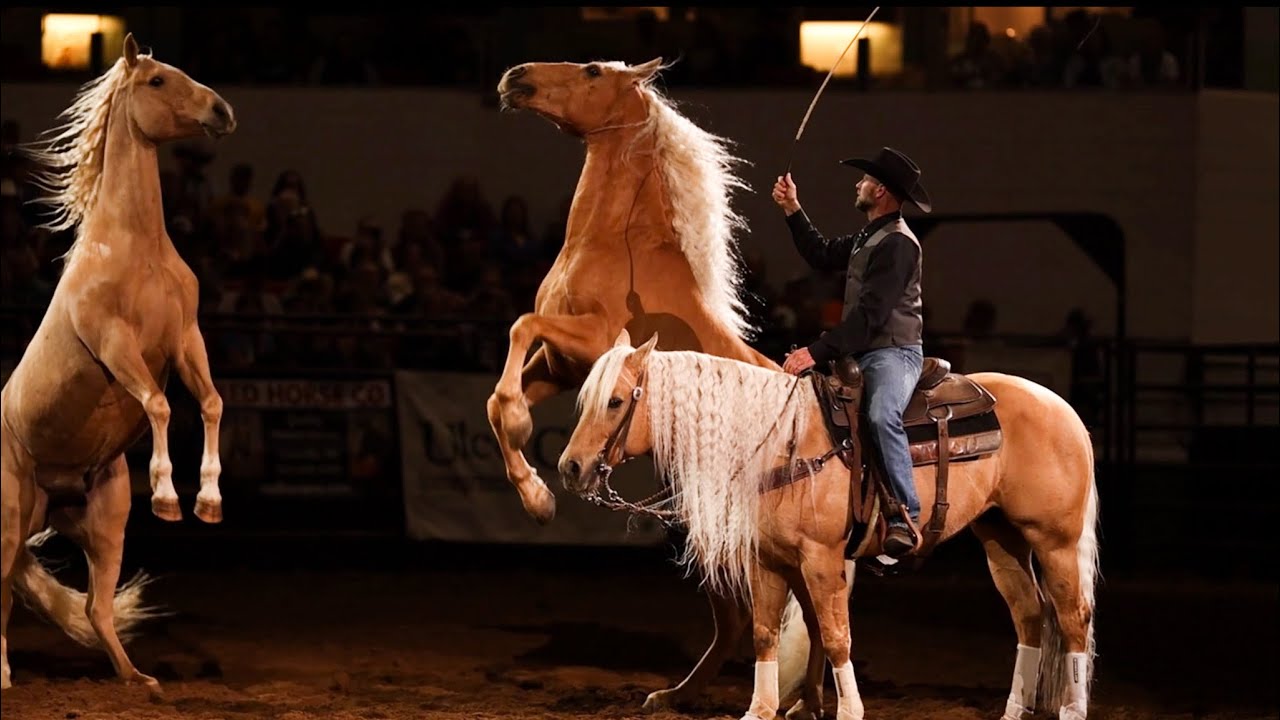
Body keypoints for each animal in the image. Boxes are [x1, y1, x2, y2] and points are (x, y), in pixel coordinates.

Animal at [1, 33, 236, 696]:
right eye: (156, 81)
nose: (222, 112)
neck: (136, 248)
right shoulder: (114, 344)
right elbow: (157, 404)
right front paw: (166, 495)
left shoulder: (186, 340)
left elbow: (210, 403)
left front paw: (207, 502)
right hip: (9, 516)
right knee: (2, 593)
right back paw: (3, 675)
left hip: (102, 520)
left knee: (94, 606)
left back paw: (136, 677)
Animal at [493, 58, 811, 711]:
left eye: (591, 71)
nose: (516, 76)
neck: (614, 242)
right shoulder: (560, 367)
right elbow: (496, 397)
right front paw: (536, 497)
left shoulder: (591, 341)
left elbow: (519, 329)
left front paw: (534, 477)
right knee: (740, 617)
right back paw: (678, 695)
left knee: (753, 616)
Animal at [557, 332, 1101, 720]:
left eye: (615, 401)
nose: (570, 467)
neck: (783, 443)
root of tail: (1063, 408)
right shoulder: (768, 562)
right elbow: (764, 635)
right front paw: (760, 710)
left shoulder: (820, 560)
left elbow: (837, 635)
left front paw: (849, 710)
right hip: (1000, 537)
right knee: (1029, 615)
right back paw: (1014, 710)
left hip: (1054, 540)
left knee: (1073, 617)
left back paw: (1072, 710)